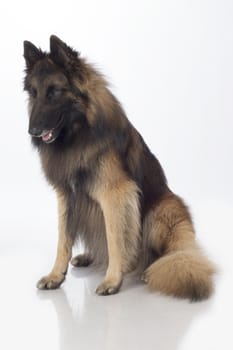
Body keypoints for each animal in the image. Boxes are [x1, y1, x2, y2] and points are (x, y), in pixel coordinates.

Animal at [23, 35, 215, 300]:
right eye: (34, 93)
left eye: (54, 92)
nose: (32, 131)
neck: (79, 133)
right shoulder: (67, 196)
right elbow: (63, 239)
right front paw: (55, 276)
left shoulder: (116, 195)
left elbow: (115, 239)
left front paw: (112, 280)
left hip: (163, 211)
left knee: (171, 254)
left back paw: (152, 269)